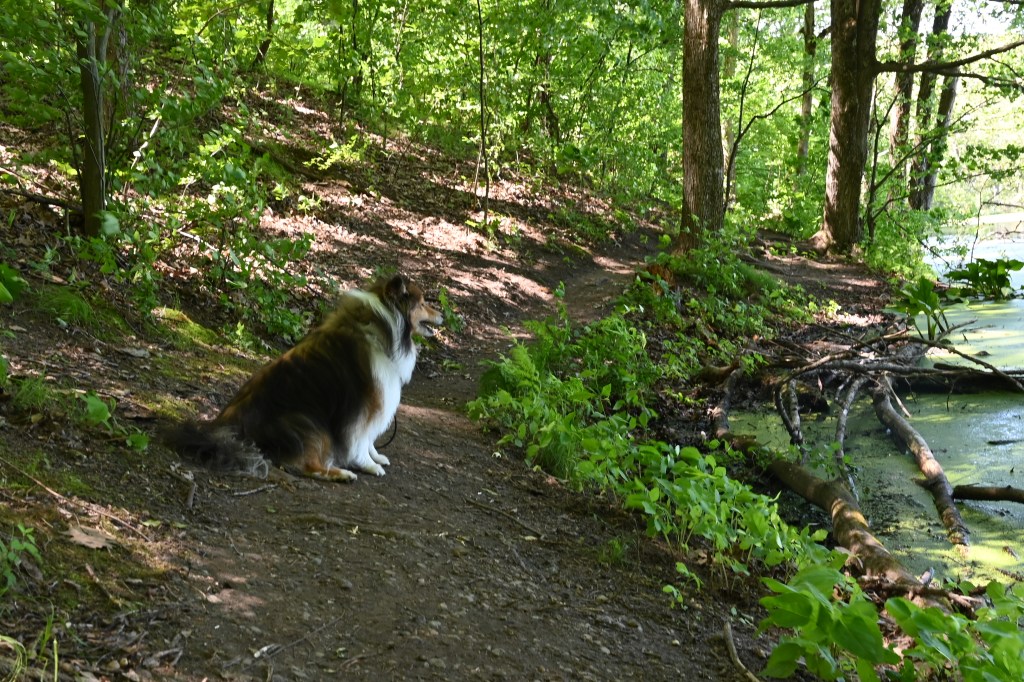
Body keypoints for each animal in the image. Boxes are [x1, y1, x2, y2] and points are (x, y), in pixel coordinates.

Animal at [167, 274, 443, 482]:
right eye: (422, 303)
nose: (441, 315)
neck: (385, 328)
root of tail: (228, 430)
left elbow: (370, 439)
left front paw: (376, 457)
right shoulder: (365, 404)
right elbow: (360, 439)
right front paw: (368, 465)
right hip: (308, 423)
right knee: (306, 466)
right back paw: (341, 473)